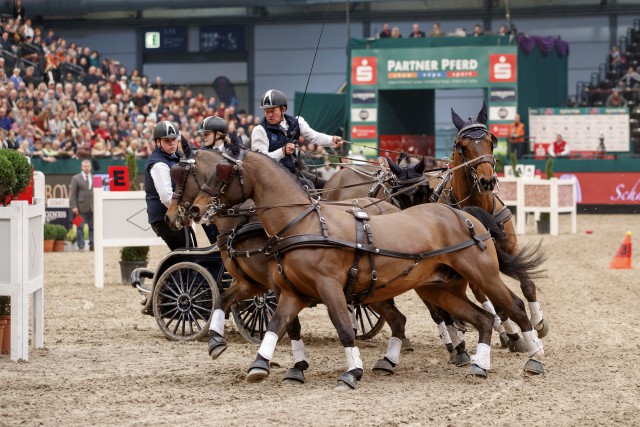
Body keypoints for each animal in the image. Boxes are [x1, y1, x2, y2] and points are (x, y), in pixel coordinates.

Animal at [190, 149, 544, 390]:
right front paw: (260, 364)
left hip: (482, 275)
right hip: (440, 288)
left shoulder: (329, 288)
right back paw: (478, 364)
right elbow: (277, 324)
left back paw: (534, 356)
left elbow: (344, 327)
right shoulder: (291, 292)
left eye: (221, 174)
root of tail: (463, 215)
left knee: (512, 306)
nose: (196, 209)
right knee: (481, 318)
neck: (302, 224)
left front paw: (351, 372)